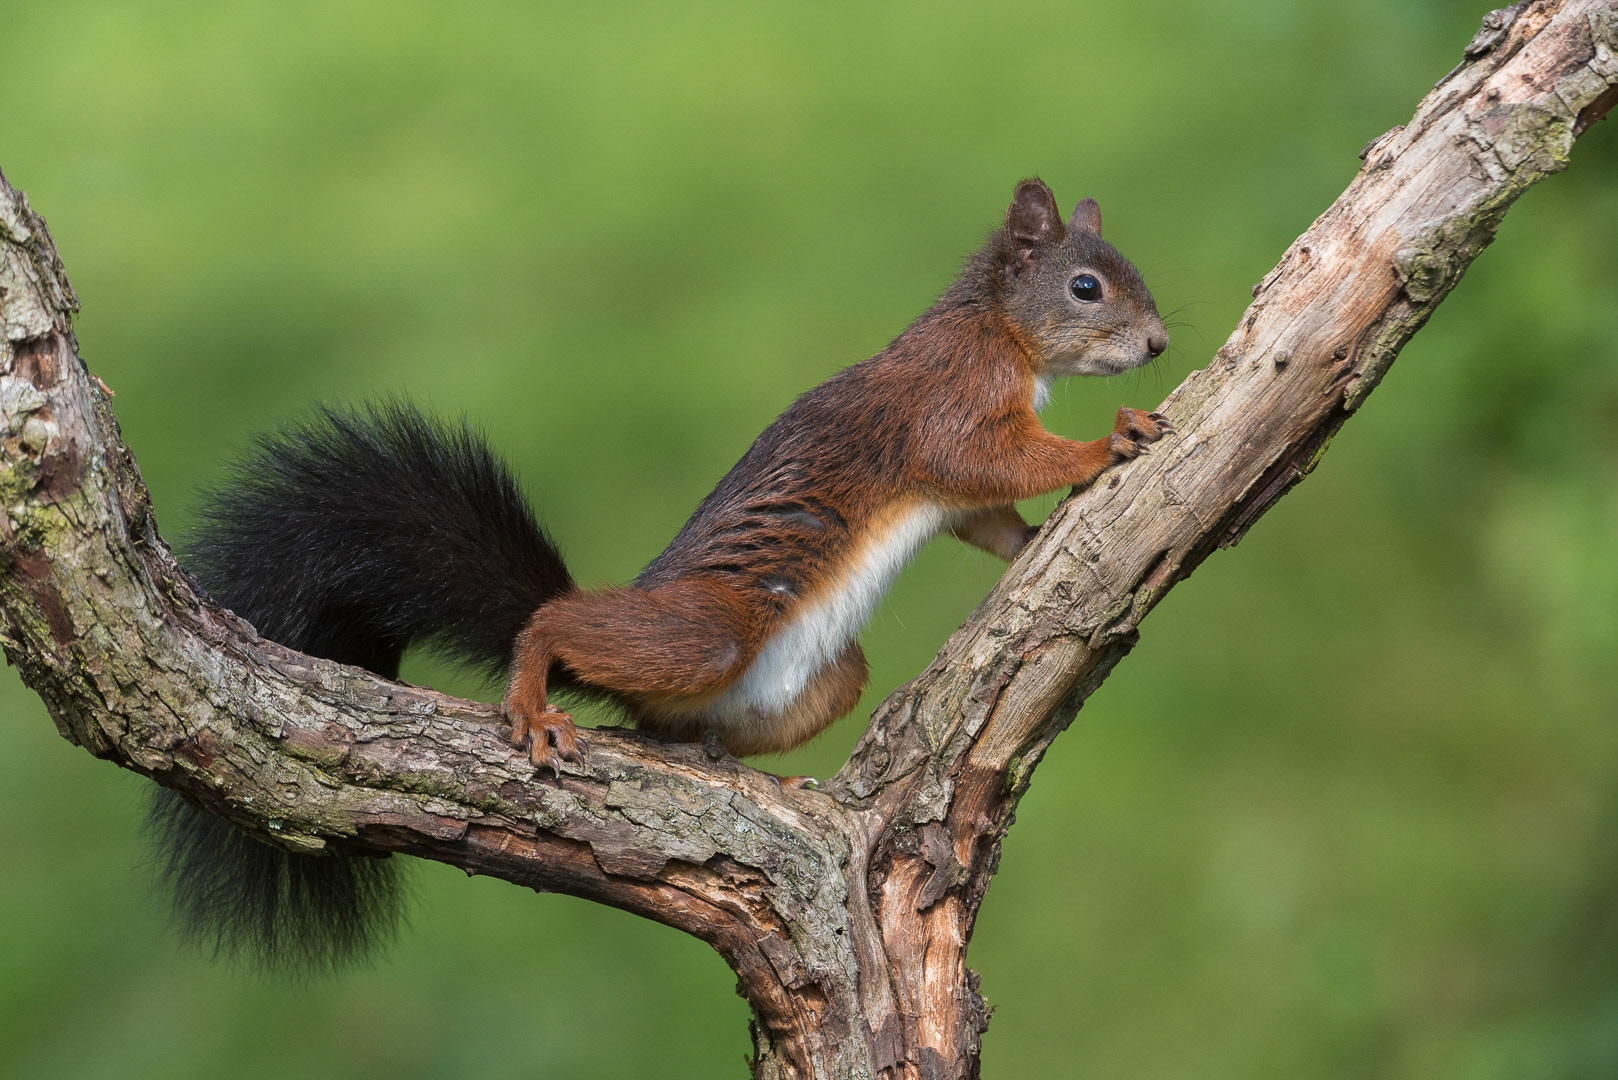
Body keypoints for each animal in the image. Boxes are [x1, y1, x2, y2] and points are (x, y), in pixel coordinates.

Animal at [146, 177, 1171, 969]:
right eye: (1086, 286)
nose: (1159, 343)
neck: (999, 331)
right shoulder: (950, 407)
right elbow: (993, 462)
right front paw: (1107, 441)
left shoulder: (961, 486)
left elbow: (988, 520)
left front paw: (1034, 536)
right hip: (704, 631)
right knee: (557, 628)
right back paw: (534, 700)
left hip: (819, 678)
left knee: (682, 727)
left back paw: (752, 772)